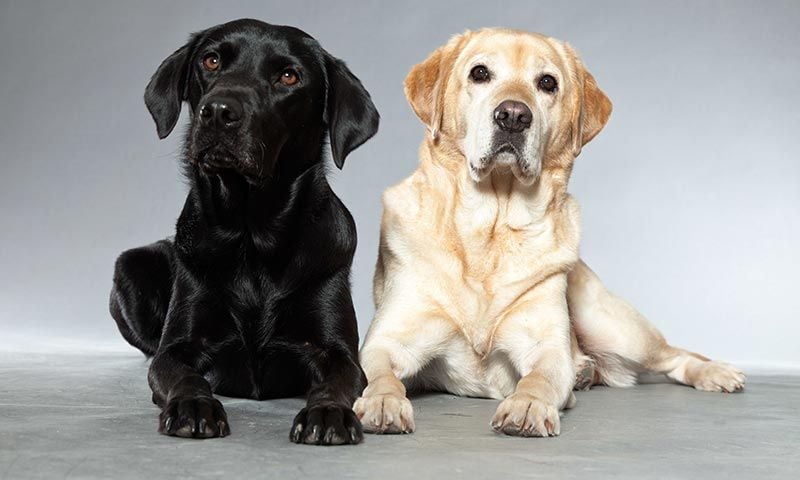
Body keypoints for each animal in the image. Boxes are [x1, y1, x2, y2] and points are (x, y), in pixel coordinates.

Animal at [109, 18, 378, 446]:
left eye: (288, 76)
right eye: (211, 60)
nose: (219, 111)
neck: (252, 233)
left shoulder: (338, 352)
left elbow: (335, 382)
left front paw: (327, 414)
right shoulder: (177, 348)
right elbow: (182, 374)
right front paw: (192, 407)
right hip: (132, 265)